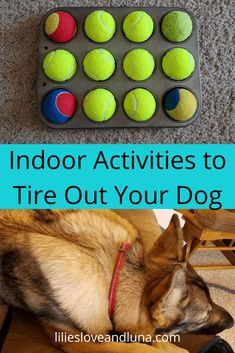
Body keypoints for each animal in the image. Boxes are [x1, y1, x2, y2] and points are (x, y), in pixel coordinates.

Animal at [0, 209, 232, 352]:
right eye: (205, 315)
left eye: (212, 302)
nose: (232, 320)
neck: (112, 279)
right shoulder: (78, 341)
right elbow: (139, 347)